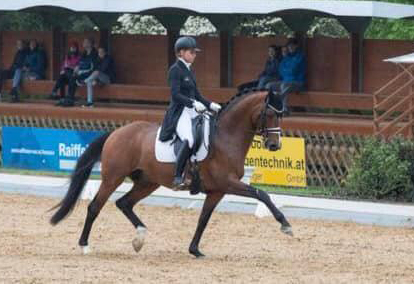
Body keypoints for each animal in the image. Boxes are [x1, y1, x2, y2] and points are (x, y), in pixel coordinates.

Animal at [50, 88, 292, 258]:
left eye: (281, 114)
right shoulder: (228, 183)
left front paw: (195, 250)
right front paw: (285, 225)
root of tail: (116, 133)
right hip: (113, 178)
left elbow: (203, 219)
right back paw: (85, 246)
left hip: (147, 183)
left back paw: (139, 238)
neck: (226, 137)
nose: (274, 145)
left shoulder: (217, 191)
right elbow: (262, 194)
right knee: (95, 207)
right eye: (269, 113)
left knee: (124, 203)